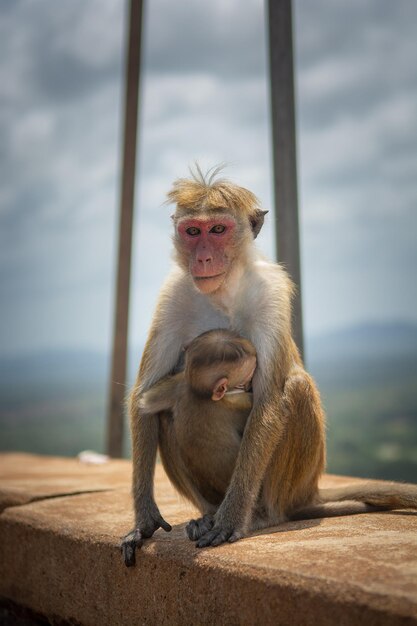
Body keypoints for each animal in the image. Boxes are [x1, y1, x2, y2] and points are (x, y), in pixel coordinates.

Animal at [140, 326, 255, 516]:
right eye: (244, 381)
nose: (249, 385)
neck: (203, 394)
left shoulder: (181, 385)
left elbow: (145, 401)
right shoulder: (237, 402)